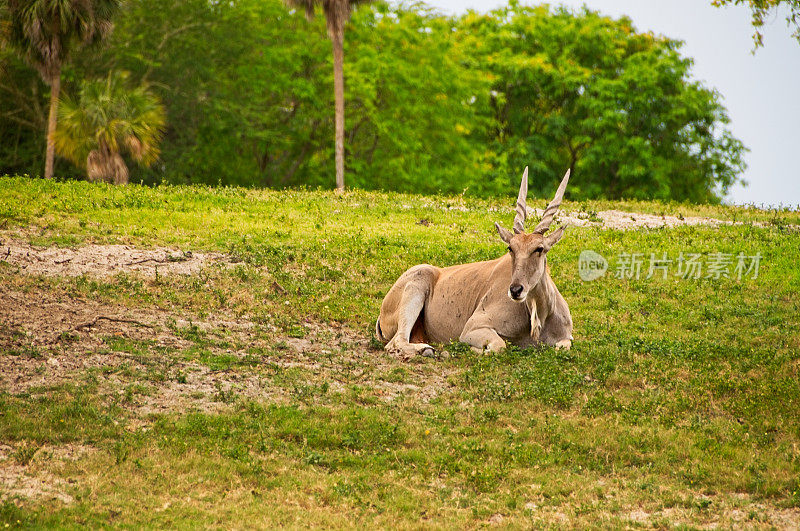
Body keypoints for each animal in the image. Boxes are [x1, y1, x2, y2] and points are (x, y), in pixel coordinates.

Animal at [376, 168, 572, 360]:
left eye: (539, 249)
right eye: (511, 248)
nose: (515, 290)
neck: (538, 317)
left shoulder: (566, 338)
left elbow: (562, 347)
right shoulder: (472, 328)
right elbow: (499, 346)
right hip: (416, 285)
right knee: (394, 342)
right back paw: (427, 350)